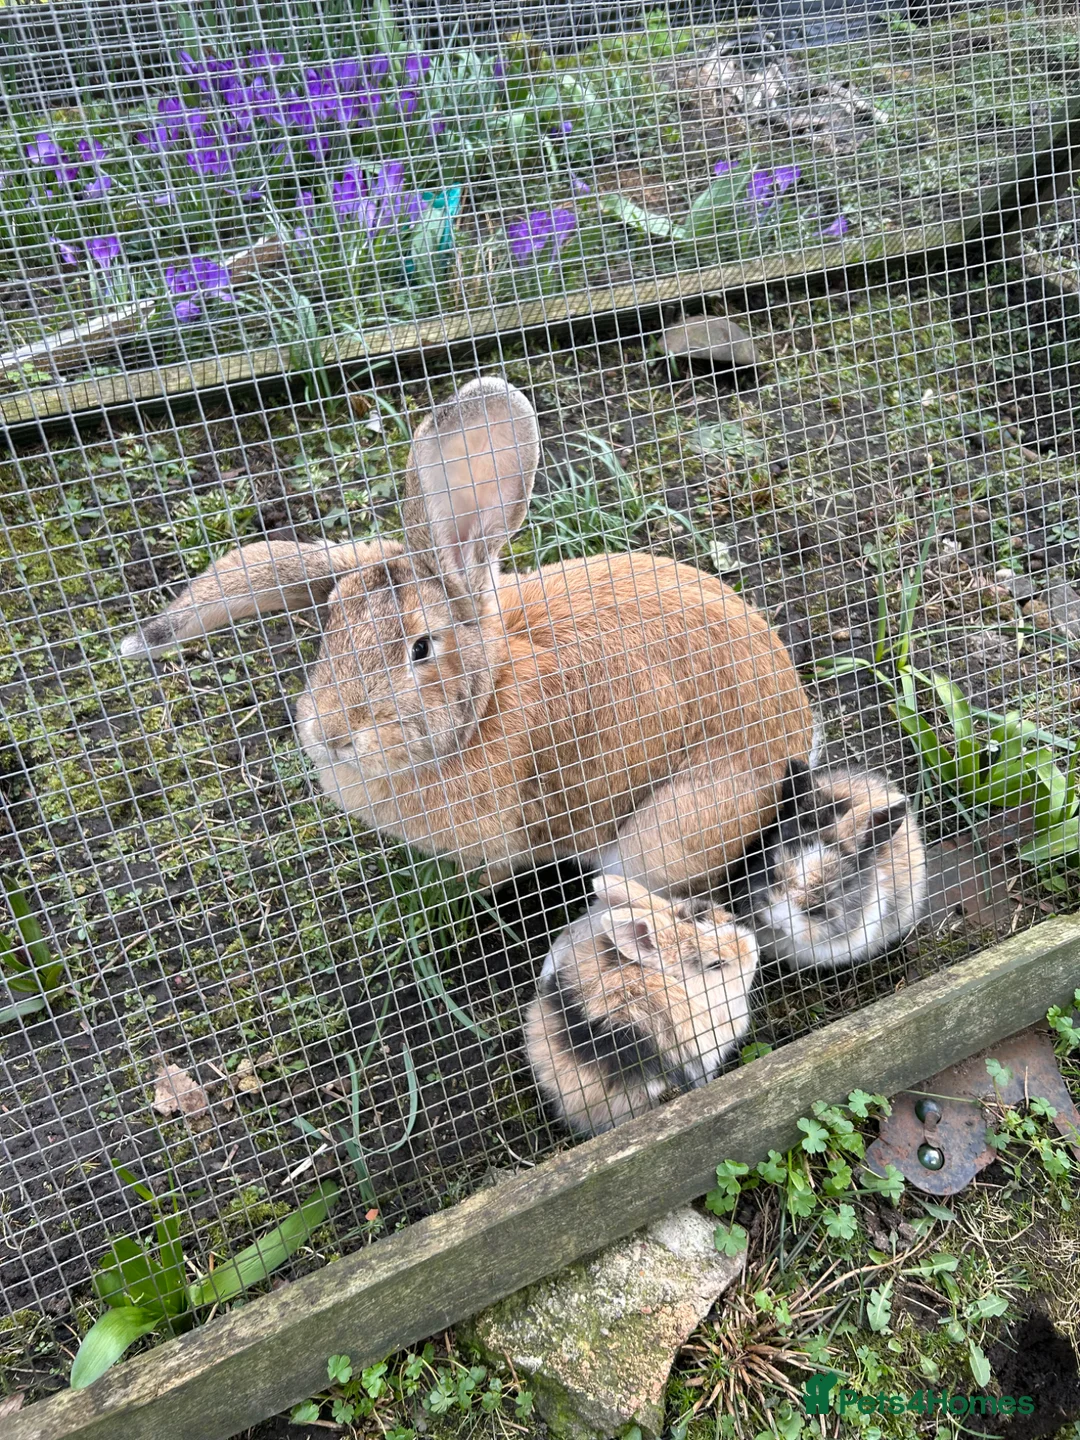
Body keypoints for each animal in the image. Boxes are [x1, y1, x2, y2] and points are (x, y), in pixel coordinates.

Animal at [120, 378, 814, 893]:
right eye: (329, 628)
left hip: (666, 835)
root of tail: (798, 727)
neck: (487, 698)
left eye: (421, 648)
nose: (335, 735)